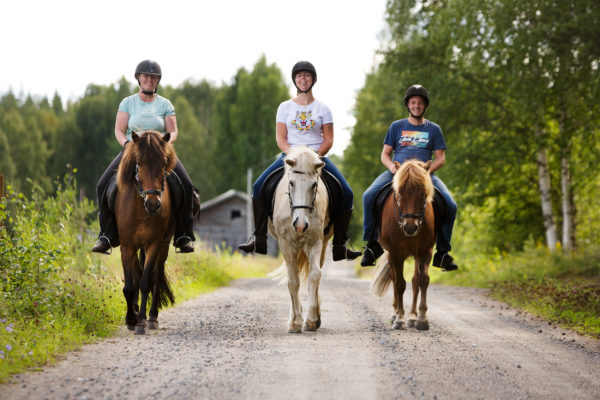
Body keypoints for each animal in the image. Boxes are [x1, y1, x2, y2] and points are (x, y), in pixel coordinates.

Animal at [115, 131, 176, 334]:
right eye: (139, 164)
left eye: (163, 164)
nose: (154, 204)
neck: (141, 209)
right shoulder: (127, 246)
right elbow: (129, 286)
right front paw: (130, 319)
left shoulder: (154, 244)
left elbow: (146, 282)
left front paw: (141, 321)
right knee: (136, 273)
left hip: (163, 246)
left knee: (156, 276)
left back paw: (152, 318)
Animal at [268, 145, 332, 332]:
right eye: (291, 183)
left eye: (314, 184)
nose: (301, 225)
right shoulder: (286, 244)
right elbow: (293, 281)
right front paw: (296, 322)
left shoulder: (316, 242)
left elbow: (314, 275)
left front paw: (311, 319)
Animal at [370, 159, 436, 332]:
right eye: (399, 193)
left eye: (423, 194)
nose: (410, 227)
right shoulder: (395, 254)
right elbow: (399, 284)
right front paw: (399, 319)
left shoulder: (425, 252)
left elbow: (422, 281)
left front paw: (421, 318)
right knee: (394, 279)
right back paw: (395, 315)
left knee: (415, 281)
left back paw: (412, 317)